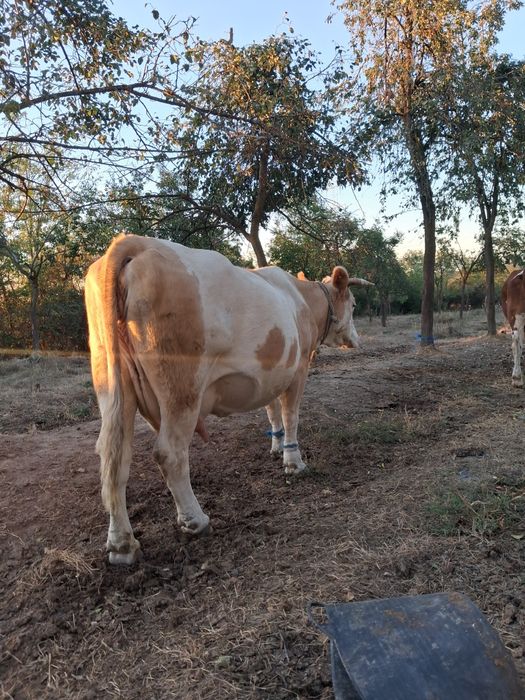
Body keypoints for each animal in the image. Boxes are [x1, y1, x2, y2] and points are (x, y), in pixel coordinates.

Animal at [85, 234, 373, 564]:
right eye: (354, 304)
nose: (356, 340)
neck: (301, 298)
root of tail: (134, 242)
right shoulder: (298, 369)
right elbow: (291, 416)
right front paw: (293, 462)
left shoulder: (270, 372)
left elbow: (272, 409)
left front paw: (276, 447)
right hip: (182, 388)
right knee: (169, 453)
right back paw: (195, 521)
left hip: (112, 381)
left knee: (114, 456)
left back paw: (122, 545)